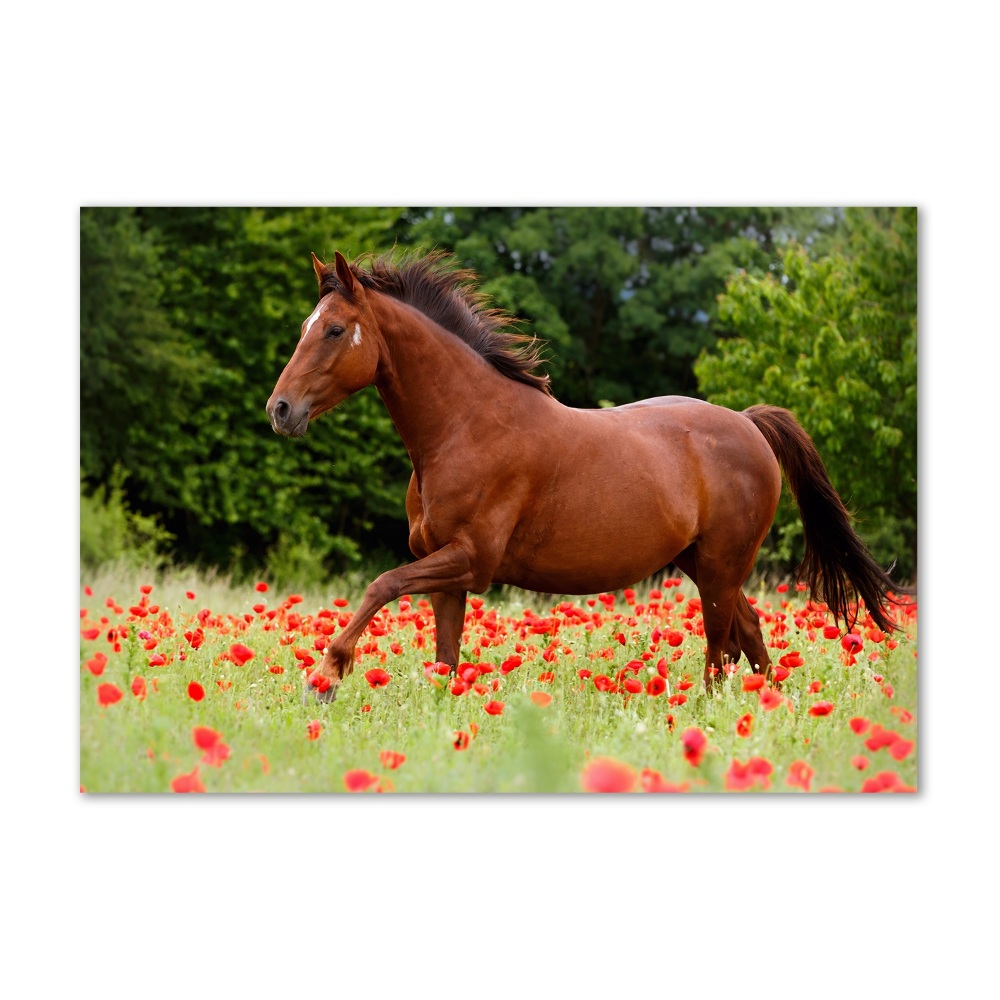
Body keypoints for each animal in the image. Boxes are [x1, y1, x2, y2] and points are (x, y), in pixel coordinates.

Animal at [266, 250, 908, 704]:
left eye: (333, 330)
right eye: (304, 326)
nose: (280, 410)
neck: (465, 426)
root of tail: (749, 424)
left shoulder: (470, 560)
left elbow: (381, 584)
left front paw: (325, 677)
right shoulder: (447, 572)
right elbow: (445, 659)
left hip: (722, 566)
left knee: (719, 646)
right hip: (704, 564)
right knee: (747, 636)